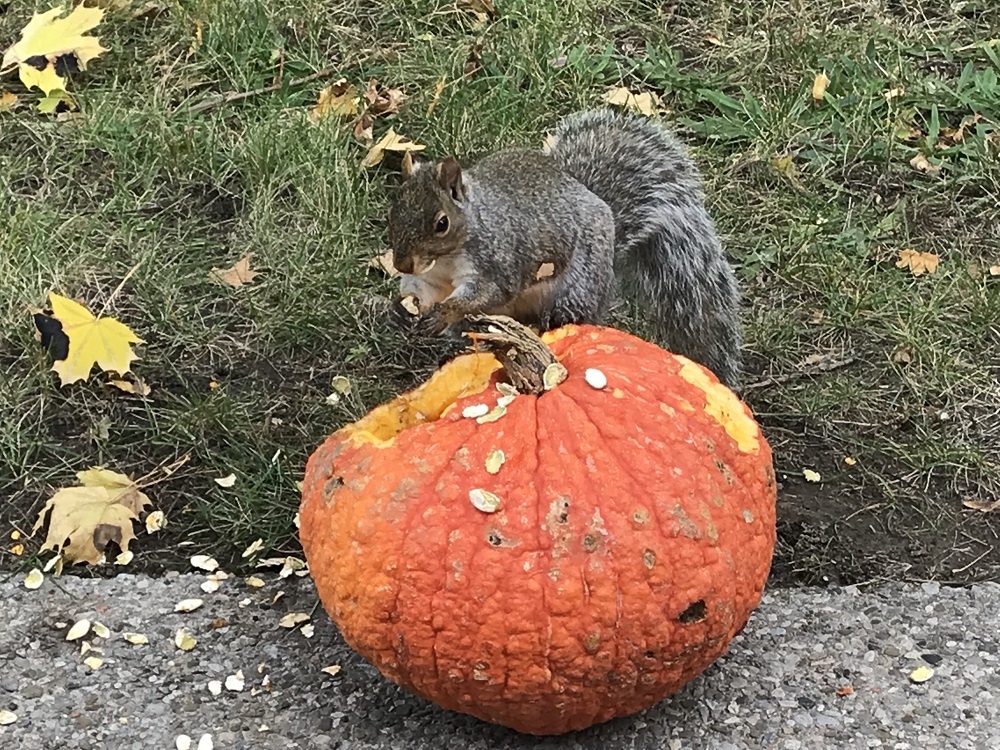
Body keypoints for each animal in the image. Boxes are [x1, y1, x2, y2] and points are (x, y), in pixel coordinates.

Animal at [384, 109, 744, 390]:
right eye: (394, 210)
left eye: (441, 223)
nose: (402, 264)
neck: (445, 260)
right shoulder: (430, 278)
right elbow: (420, 291)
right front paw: (403, 306)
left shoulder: (500, 259)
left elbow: (488, 292)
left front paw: (445, 311)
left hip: (577, 290)